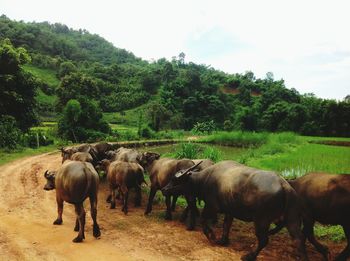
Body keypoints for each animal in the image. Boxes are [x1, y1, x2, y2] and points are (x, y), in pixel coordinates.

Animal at [163, 160, 308, 260]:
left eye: (174, 180)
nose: (164, 189)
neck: (204, 179)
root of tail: (284, 185)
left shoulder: (212, 206)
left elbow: (204, 220)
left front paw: (212, 236)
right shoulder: (229, 211)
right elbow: (226, 225)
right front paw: (223, 241)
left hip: (261, 220)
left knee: (263, 240)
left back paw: (249, 256)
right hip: (291, 218)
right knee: (299, 239)